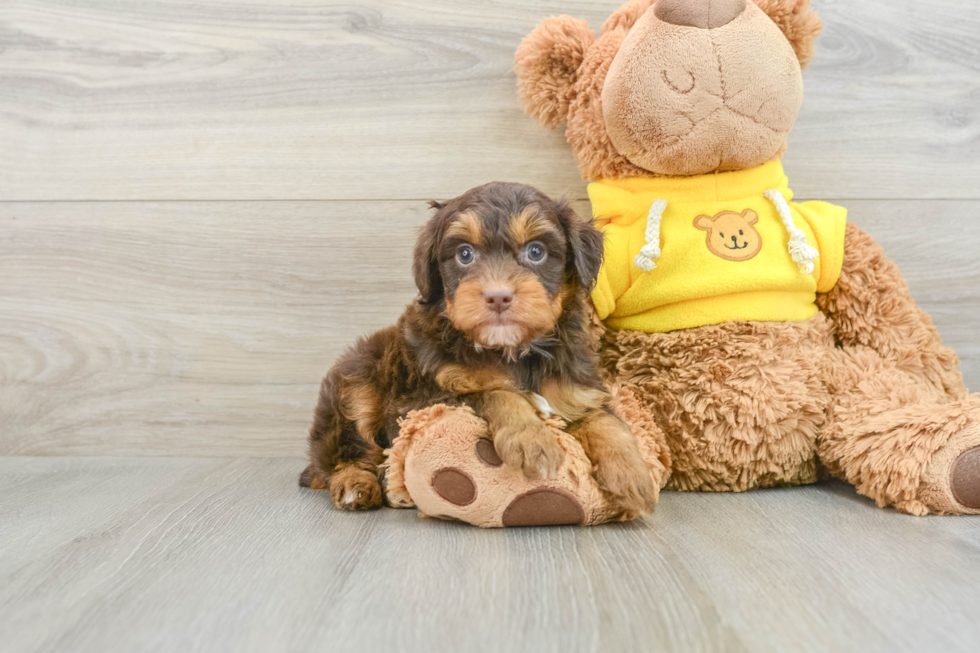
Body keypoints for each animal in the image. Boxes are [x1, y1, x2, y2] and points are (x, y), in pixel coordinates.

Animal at [294, 181, 656, 516]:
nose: (498, 296)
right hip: (356, 382)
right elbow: (495, 393)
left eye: (536, 251)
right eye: (464, 254)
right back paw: (357, 485)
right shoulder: (426, 400)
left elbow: (604, 420)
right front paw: (532, 439)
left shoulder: (576, 389)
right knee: (345, 454)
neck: (512, 350)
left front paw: (631, 473)